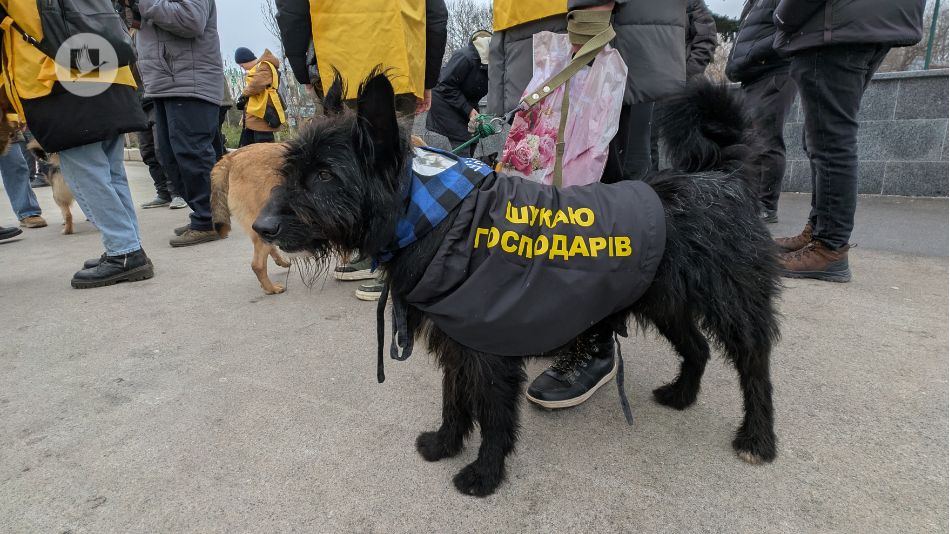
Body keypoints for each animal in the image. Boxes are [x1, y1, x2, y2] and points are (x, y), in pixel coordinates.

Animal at [251, 71, 780, 498]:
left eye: (324, 175)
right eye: (292, 170)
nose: (261, 227)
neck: (436, 215)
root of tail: (722, 177)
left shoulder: (490, 354)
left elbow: (495, 418)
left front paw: (485, 474)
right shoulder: (458, 342)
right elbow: (453, 400)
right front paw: (445, 443)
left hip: (732, 307)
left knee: (754, 367)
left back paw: (757, 438)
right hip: (665, 303)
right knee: (697, 347)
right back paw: (682, 395)